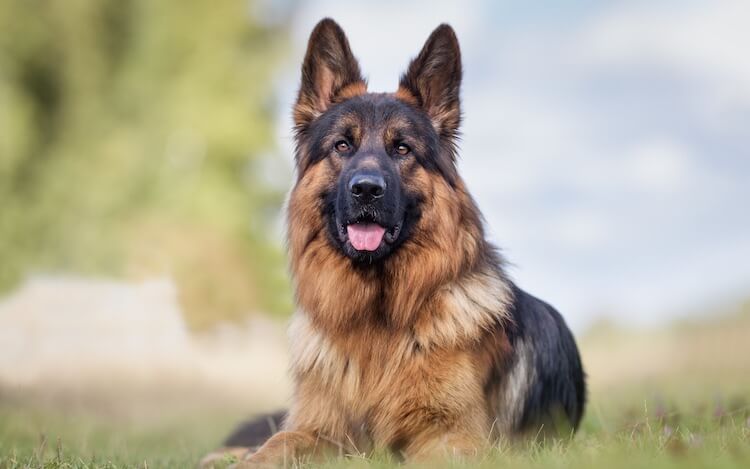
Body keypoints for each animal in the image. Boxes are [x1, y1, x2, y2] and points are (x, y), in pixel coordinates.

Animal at [201, 16, 588, 466]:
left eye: (402, 148)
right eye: (342, 145)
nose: (366, 190)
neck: (376, 321)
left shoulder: (453, 437)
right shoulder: (319, 429)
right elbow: (274, 444)